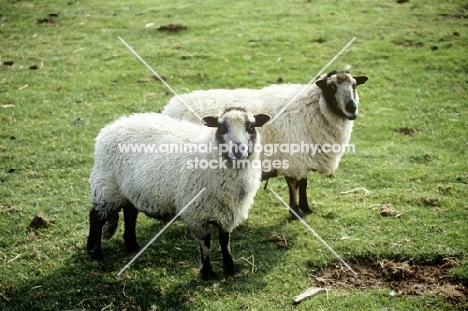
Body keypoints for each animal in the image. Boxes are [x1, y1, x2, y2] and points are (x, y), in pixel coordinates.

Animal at [87, 108, 270, 280]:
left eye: (251, 126)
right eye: (221, 127)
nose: (238, 150)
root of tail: (113, 125)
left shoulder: (228, 211)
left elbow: (225, 242)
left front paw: (231, 268)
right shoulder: (196, 214)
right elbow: (205, 243)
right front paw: (207, 272)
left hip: (129, 189)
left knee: (130, 213)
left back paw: (133, 246)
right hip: (107, 187)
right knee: (96, 217)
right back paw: (94, 252)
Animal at [161, 70, 370, 218]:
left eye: (354, 85)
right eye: (332, 87)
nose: (352, 108)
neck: (315, 108)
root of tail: (168, 110)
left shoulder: (302, 158)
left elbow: (304, 184)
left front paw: (307, 208)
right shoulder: (293, 159)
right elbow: (294, 185)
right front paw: (296, 212)